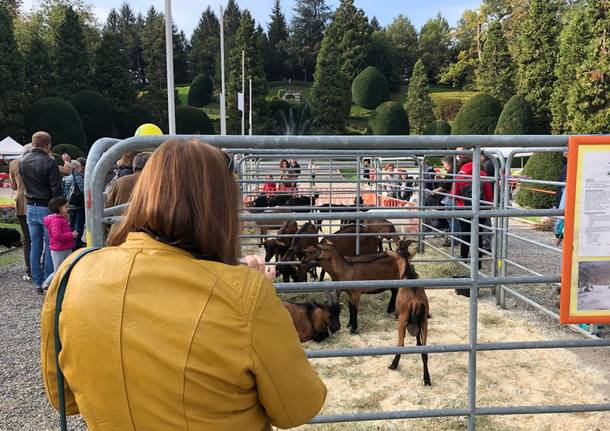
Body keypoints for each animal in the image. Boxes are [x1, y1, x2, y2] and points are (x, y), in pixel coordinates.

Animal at [388, 241, 430, 386]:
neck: (408, 273)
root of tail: (416, 303)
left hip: (402, 321)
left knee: (401, 344)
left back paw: (393, 365)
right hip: (424, 322)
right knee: (425, 350)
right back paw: (427, 379)